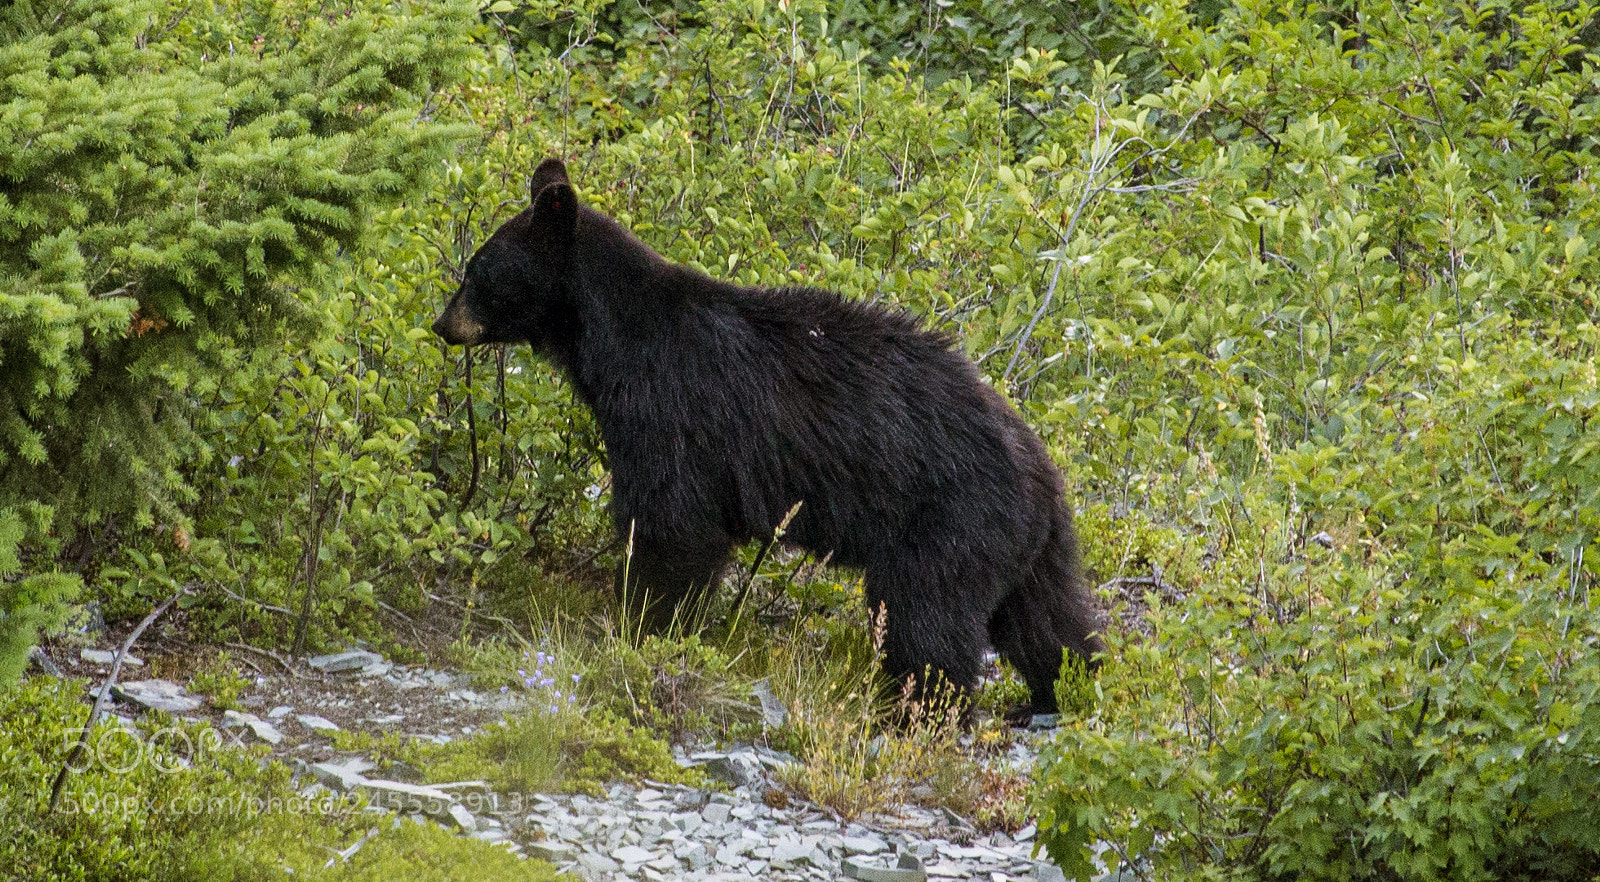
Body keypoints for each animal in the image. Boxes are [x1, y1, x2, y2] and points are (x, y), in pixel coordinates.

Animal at [432, 157, 1103, 715]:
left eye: (477, 269)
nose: (443, 324)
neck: (609, 339)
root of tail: (1041, 469)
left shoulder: (673, 409)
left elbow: (672, 526)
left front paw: (645, 624)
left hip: (947, 522)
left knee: (926, 618)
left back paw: (917, 711)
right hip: (1020, 542)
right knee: (1047, 617)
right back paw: (1062, 690)